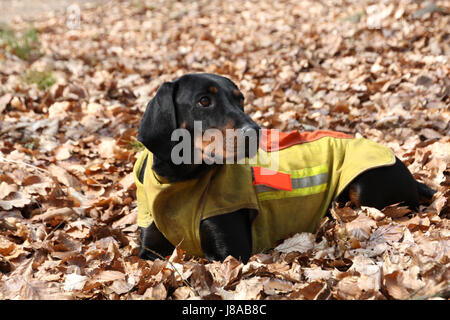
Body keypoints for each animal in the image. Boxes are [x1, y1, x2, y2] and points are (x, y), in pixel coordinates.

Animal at [134, 74, 436, 264]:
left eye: (240, 100)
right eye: (203, 101)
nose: (254, 132)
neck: (180, 181)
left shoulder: (230, 253)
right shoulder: (149, 250)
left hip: (365, 185)